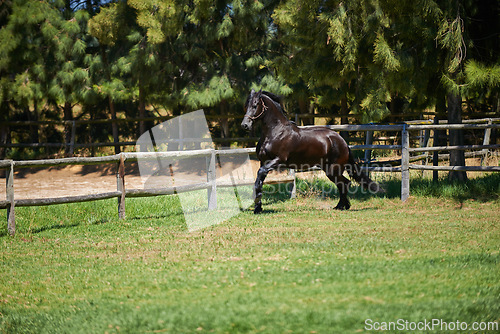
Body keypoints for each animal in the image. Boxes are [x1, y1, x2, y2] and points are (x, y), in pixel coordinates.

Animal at [240, 89, 380, 214]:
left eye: (255, 105)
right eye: (246, 106)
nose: (244, 125)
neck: (275, 132)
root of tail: (343, 142)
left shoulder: (278, 160)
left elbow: (260, 175)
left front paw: (257, 202)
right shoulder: (263, 161)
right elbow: (259, 180)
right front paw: (258, 208)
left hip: (333, 169)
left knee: (345, 183)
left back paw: (341, 206)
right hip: (329, 169)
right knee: (344, 183)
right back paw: (341, 206)